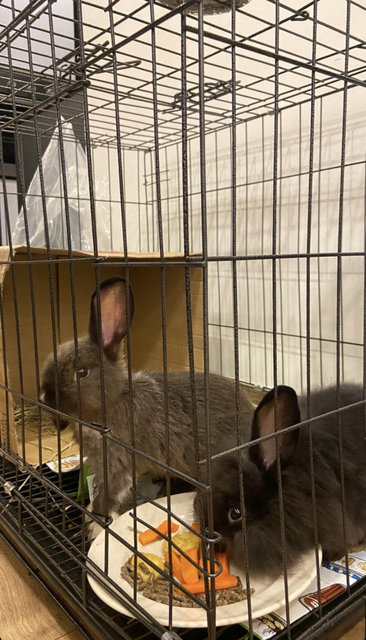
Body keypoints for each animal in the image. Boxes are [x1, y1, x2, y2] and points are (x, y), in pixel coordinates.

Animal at [38, 276, 253, 536]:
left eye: (82, 373)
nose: (44, 397)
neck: (114, 400)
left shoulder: (118, 463)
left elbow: (108, 496)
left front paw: (97, 525)